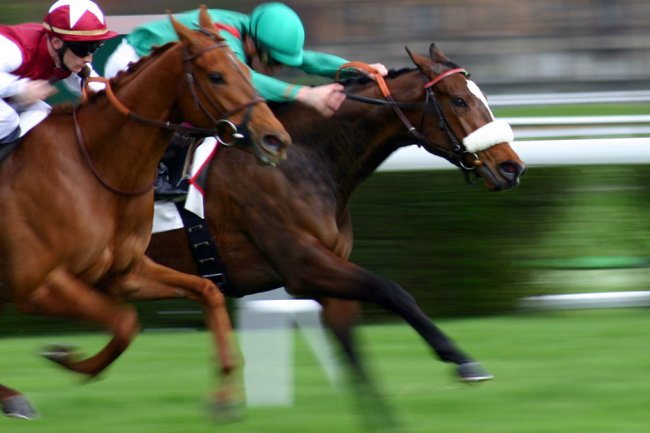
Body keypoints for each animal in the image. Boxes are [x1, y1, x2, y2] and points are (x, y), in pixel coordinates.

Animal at [0, 6, 290, 420]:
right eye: (217, 76)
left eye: (248, 73)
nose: (275, 140)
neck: (96, 169)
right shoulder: (39, 285)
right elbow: (125, 321)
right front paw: (64, 356)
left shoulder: (124, 273)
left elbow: (206, 291)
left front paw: (224, 396)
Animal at [145, 41, 525, 414]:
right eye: (459, 100)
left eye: (483, 97)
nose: (511, 167)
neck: (304, 159)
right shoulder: (303, 266)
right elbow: (392, 290)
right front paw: (463, 361)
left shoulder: (329, 274)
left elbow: (354, 354)